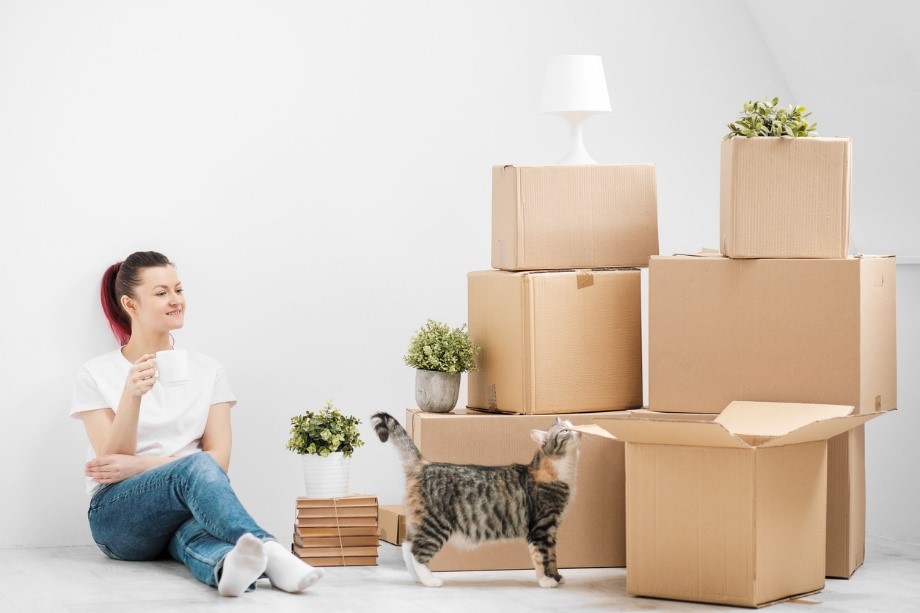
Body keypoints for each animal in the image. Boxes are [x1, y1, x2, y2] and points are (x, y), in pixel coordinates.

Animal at [368, 412, 580, 588]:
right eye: (565, 431)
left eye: (572, 425)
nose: (578, 431)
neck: (559, 470)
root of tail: (423, 465)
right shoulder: (541, 528)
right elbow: (542, 557)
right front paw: (546, 581)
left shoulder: (551, 529)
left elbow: (552, 557)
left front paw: (557, 577)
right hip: (435, 526)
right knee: (417, 552)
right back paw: (429, 580)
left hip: (420, 522)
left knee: (407, 547)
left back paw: (417, 578)